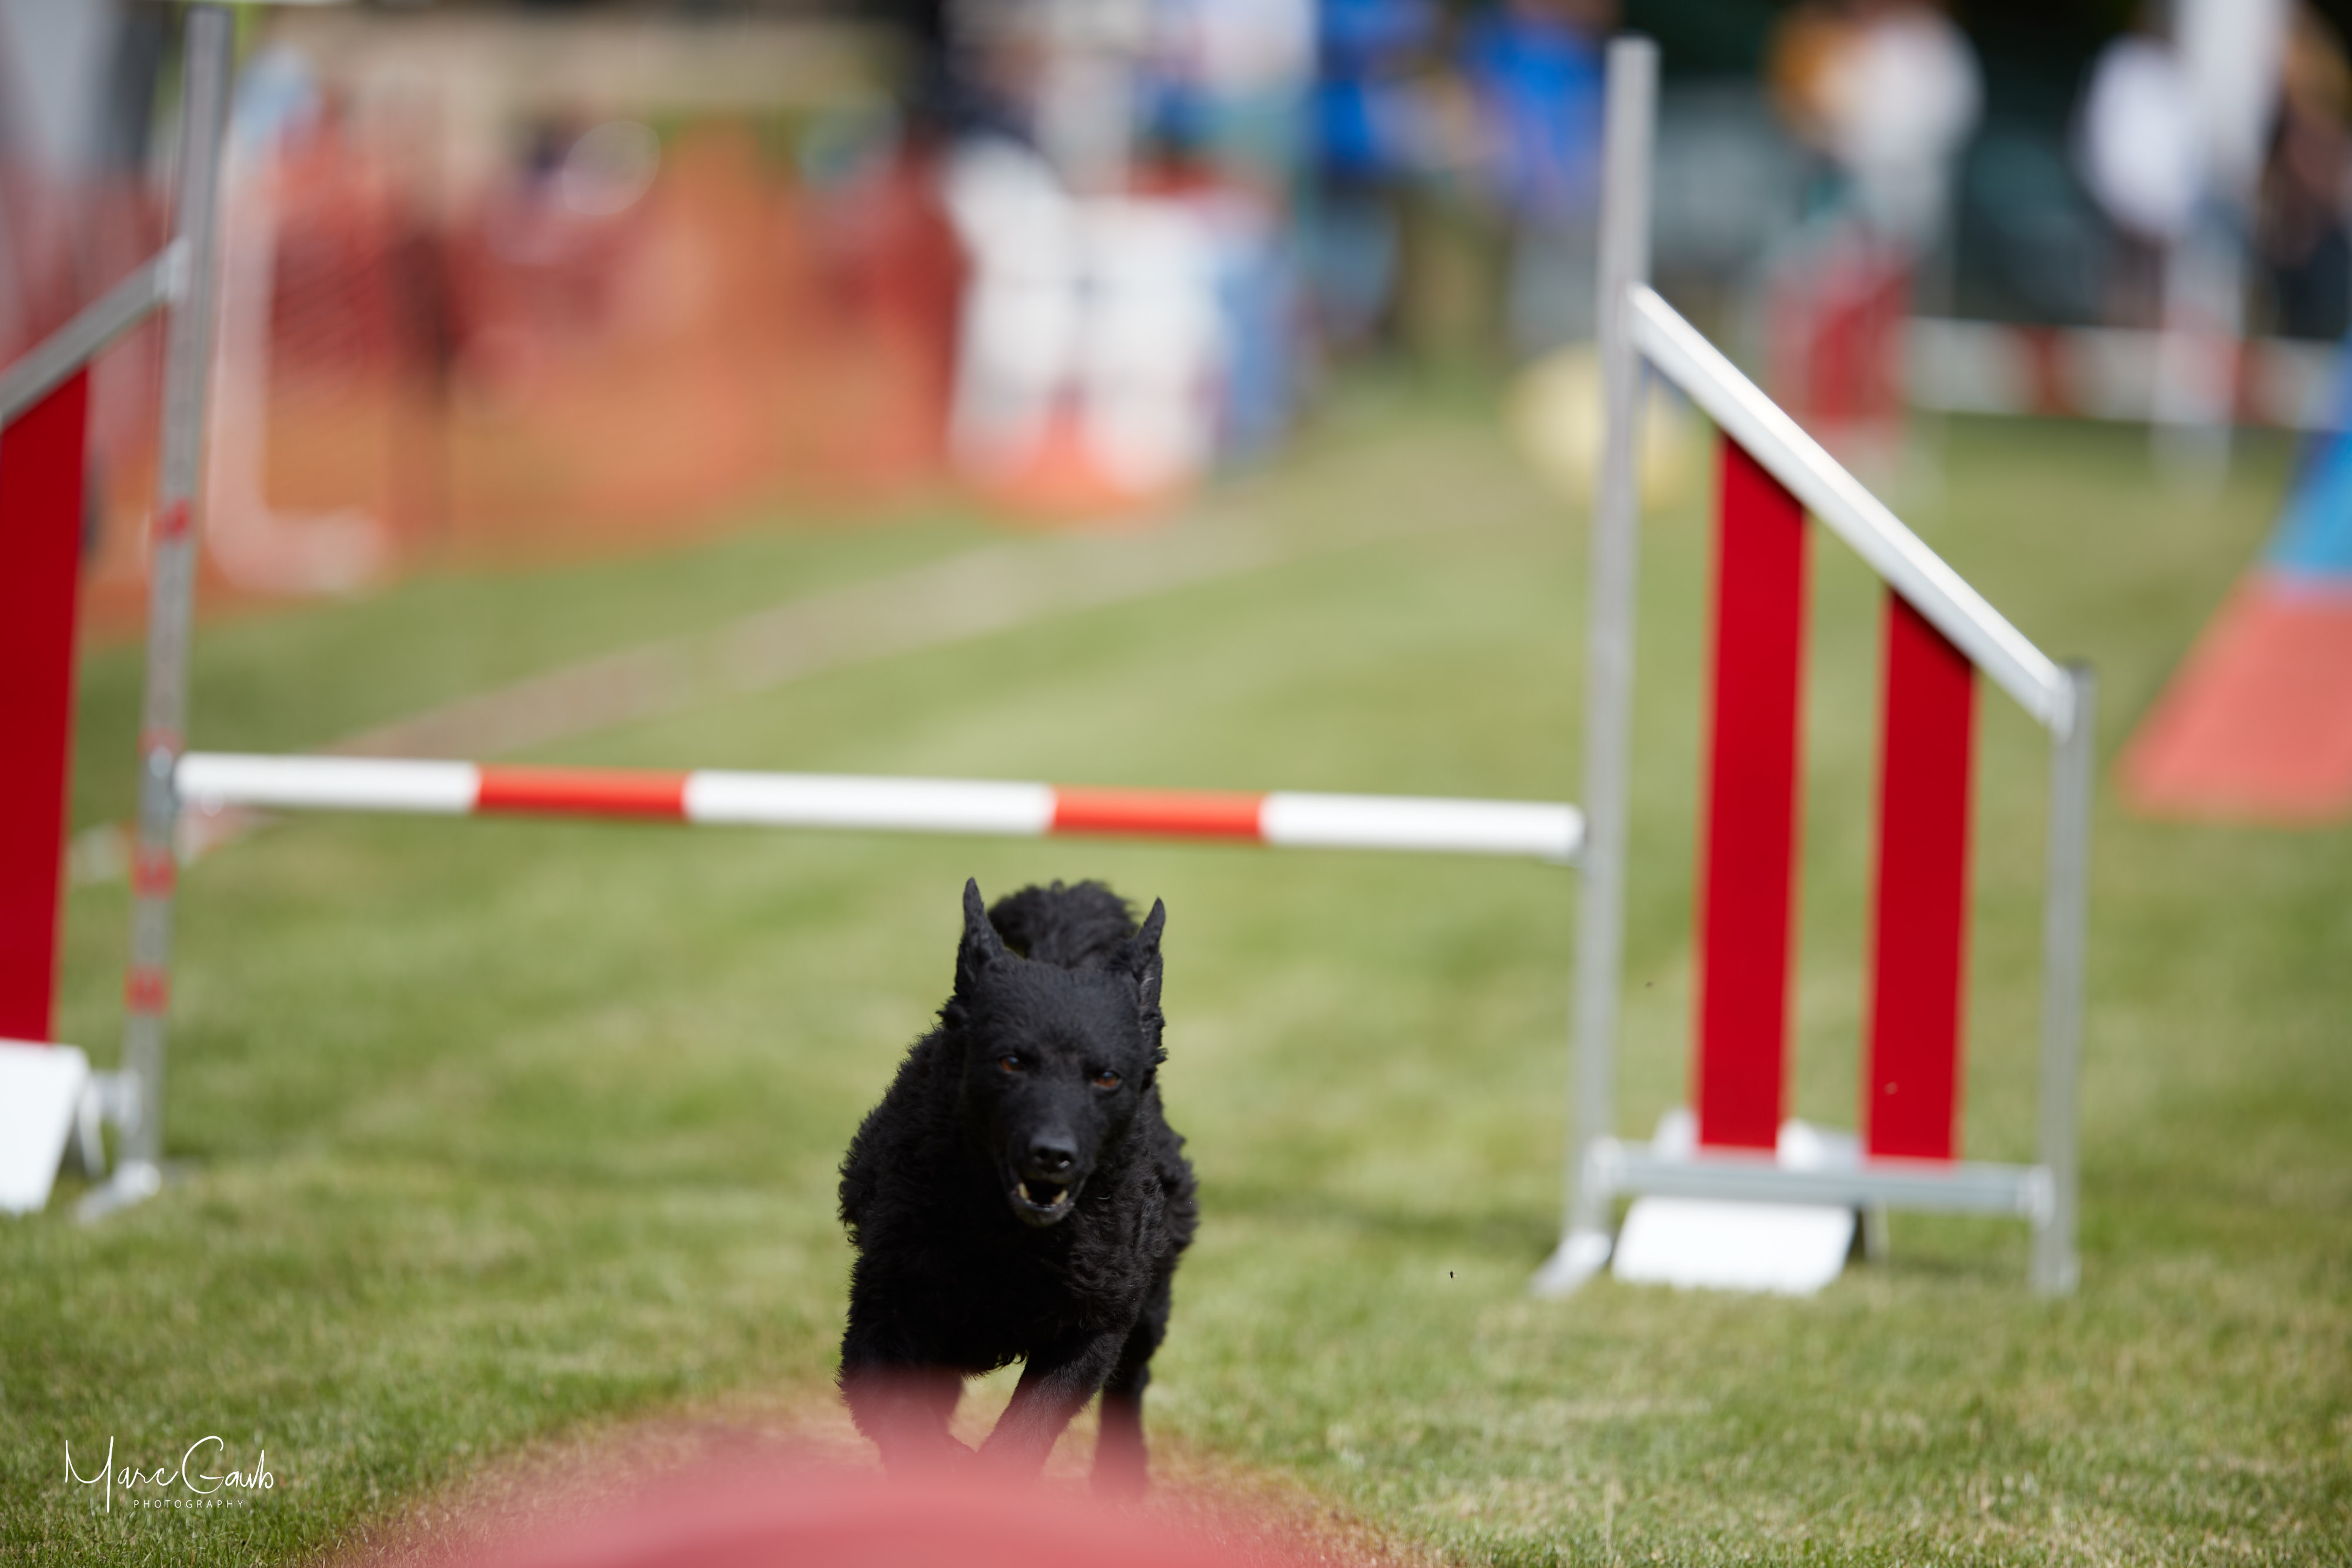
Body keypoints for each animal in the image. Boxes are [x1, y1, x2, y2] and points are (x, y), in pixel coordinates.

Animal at [837, 879, 1197, 1496]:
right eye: (1011, 1061)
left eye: (1106, 1076)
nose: (1052, 1154)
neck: (1008, 1241)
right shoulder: (883, 1316)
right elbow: (905, 1420)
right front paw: (944, 1469)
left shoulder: (1098, 1323)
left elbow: (1028, 1428)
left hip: (1150, 1303)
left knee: (1131, 1383)